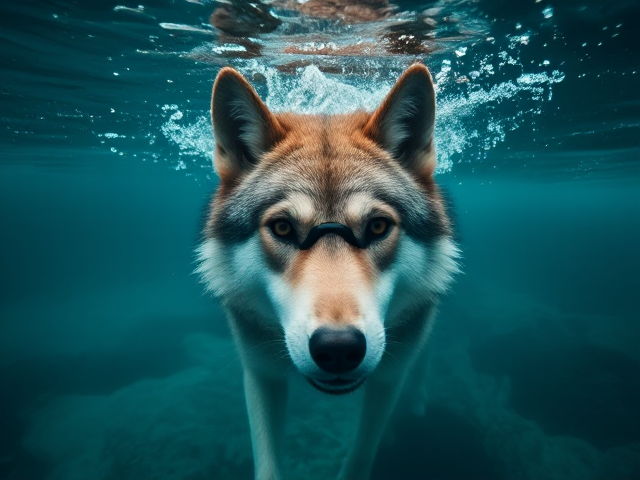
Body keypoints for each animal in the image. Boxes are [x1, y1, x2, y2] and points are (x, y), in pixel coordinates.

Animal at [196, 63, 459, 480]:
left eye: (378, 227)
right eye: (283, 228)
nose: (338, 348)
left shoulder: (389, 375)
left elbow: (362, 453)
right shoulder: (261, 373)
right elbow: (267, 464)